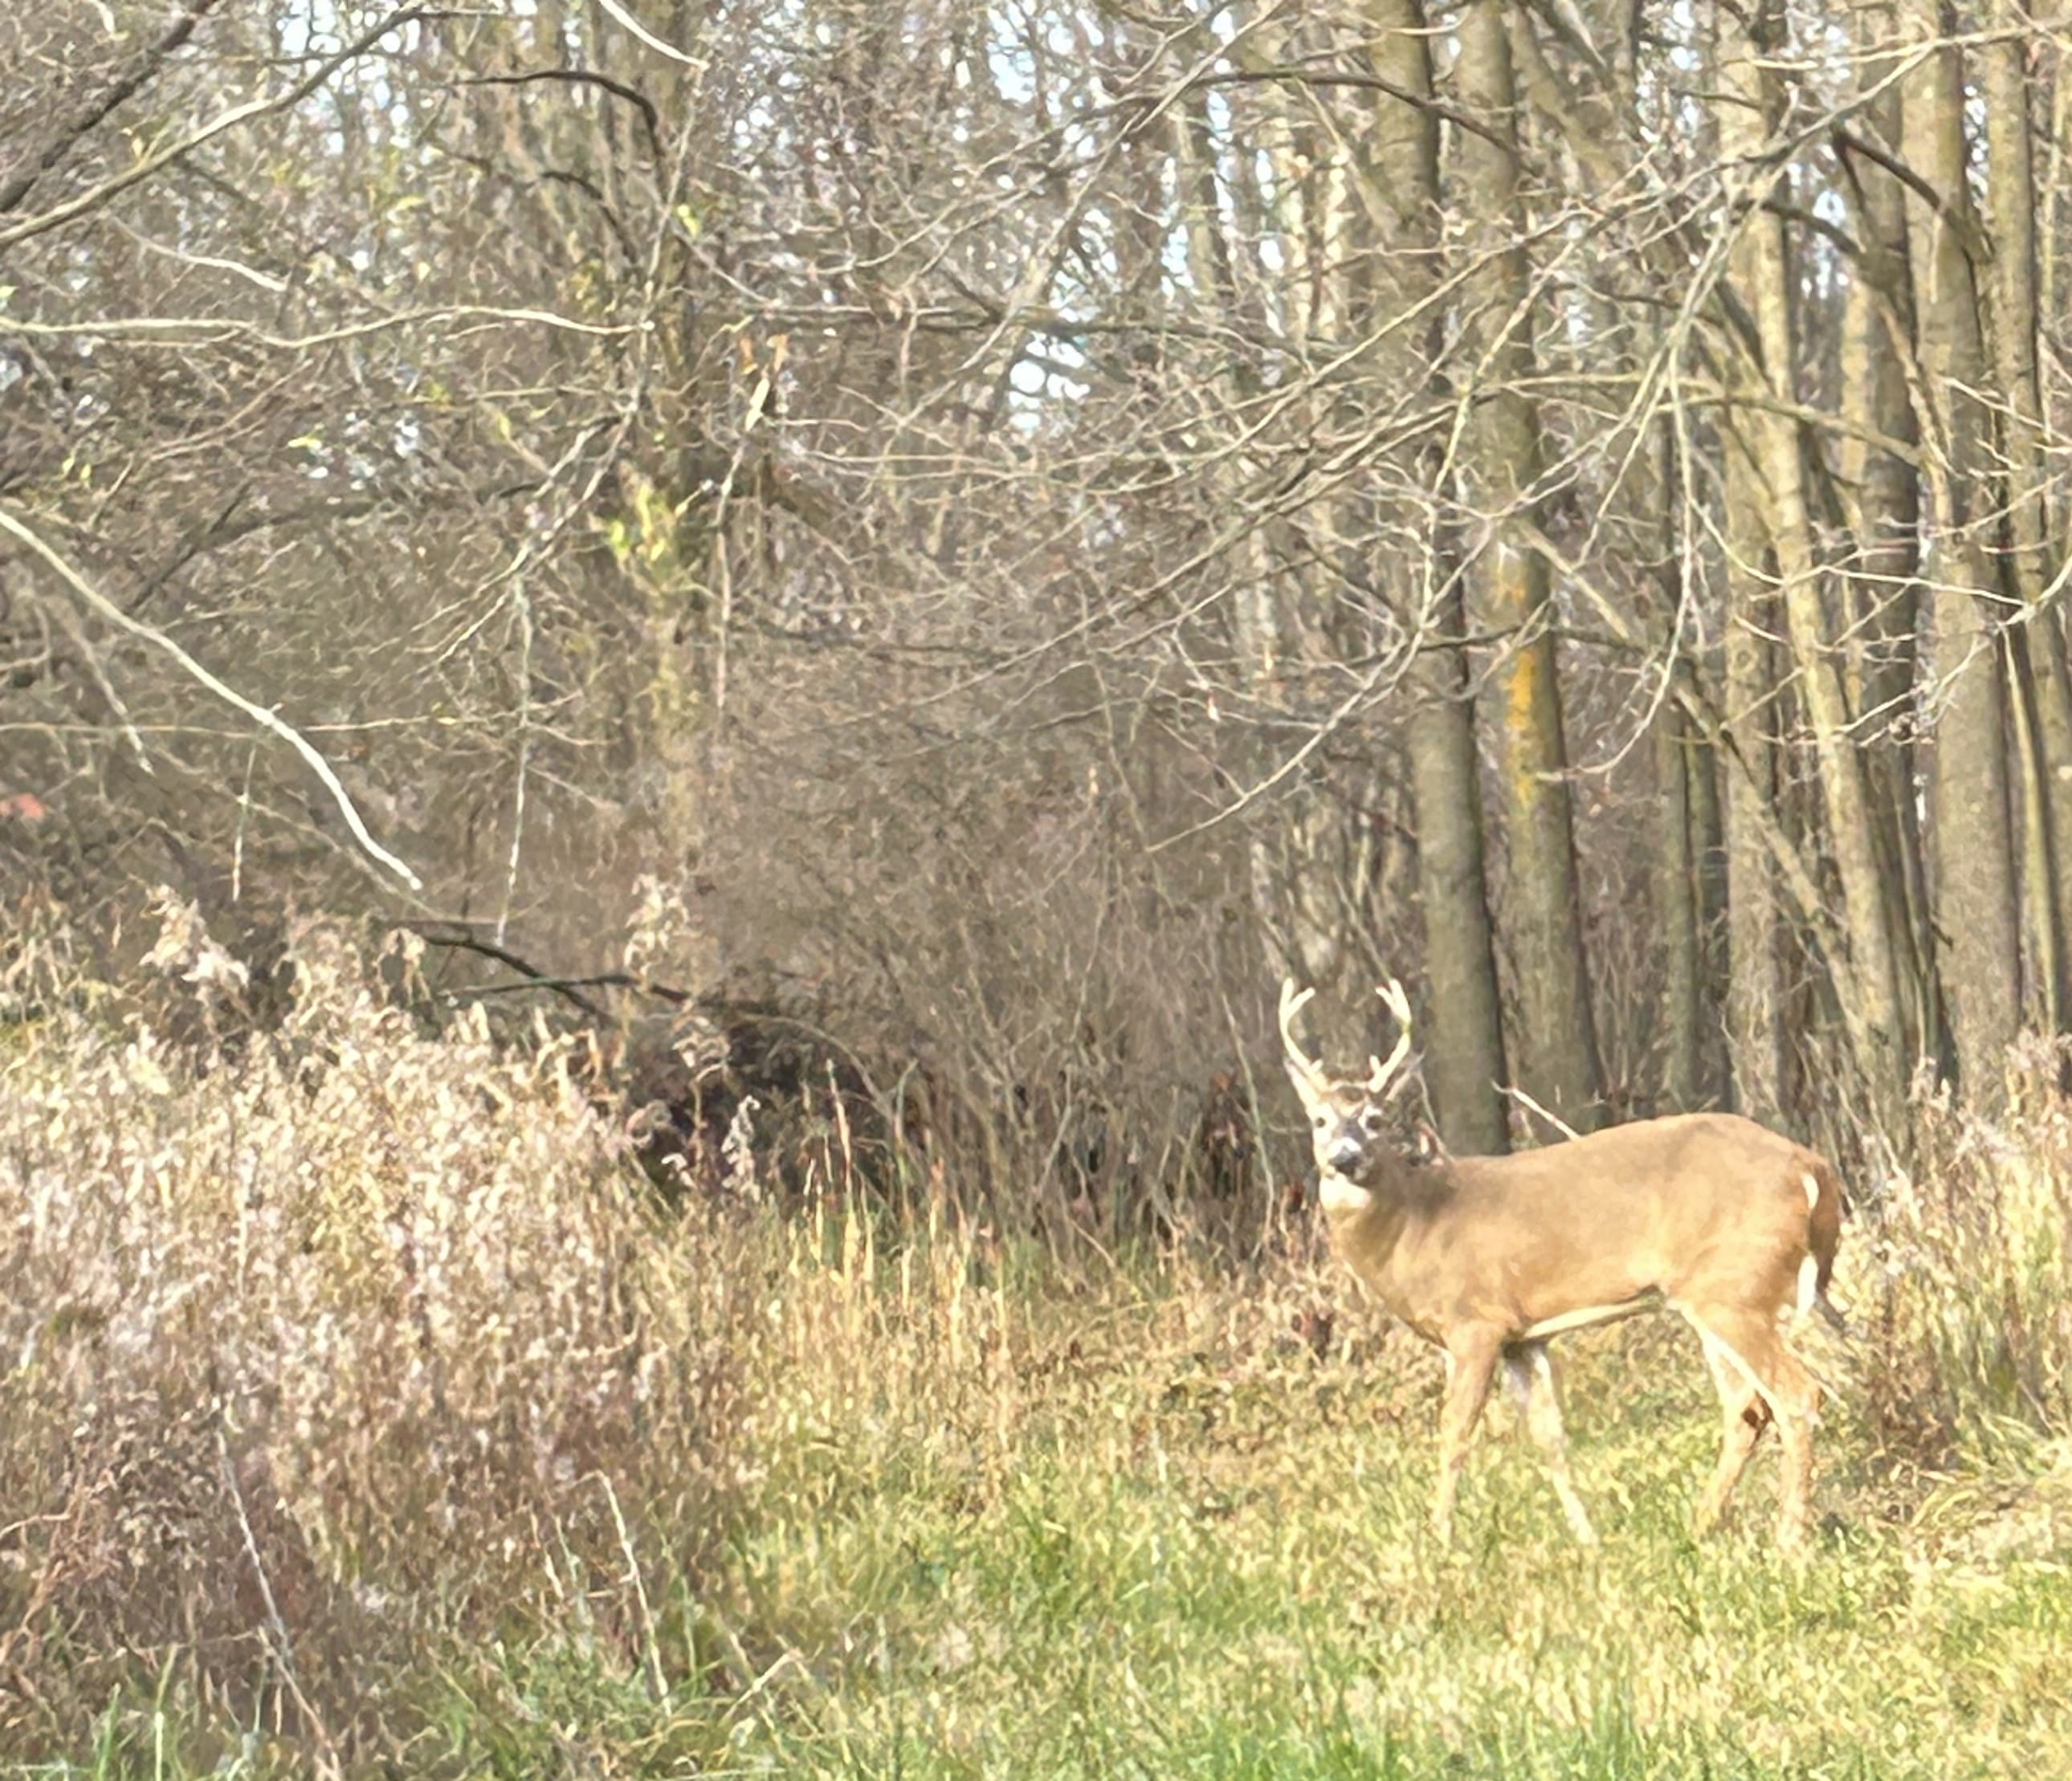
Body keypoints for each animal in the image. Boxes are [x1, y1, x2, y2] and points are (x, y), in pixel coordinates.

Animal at [1278, 977, 1843, 1551]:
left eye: (1375, 1121)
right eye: (1319, 1119)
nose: (1344, 1158)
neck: (1417, 1225)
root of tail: (1813, 1168)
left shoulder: (1476, 1322)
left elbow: (1455, 1431)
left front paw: (1439, 1538)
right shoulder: (1524, 1338)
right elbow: (1549, 1437)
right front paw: (1587, 1538)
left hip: (1733, 1287)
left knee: (1796, 1394)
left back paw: (1788, 1539)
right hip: (1718, 1295)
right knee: (1747, 1407)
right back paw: (1700, 1525)